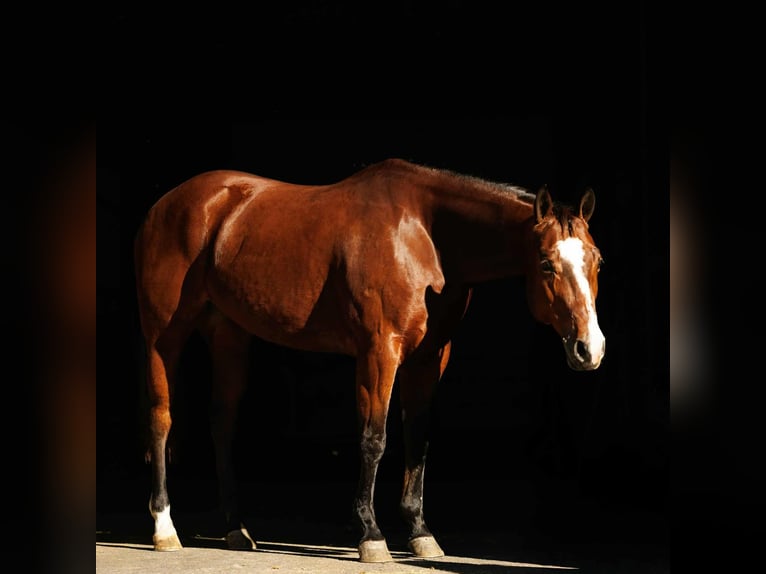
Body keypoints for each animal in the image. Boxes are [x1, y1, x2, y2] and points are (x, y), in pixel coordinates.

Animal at [133, 158, 606, 563]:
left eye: (597, 260)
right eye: (546, 263)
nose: (590, 348)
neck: (424, 235)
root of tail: (168, 204)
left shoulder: (430, 358)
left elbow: (418, 441)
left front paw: (420, 533)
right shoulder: (380, 352)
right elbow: (373, 439)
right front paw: (371, 535)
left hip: (229, 335)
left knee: (222, 424)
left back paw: (235, 528)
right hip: (163, 336)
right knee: (160, 419)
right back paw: (164, 529)